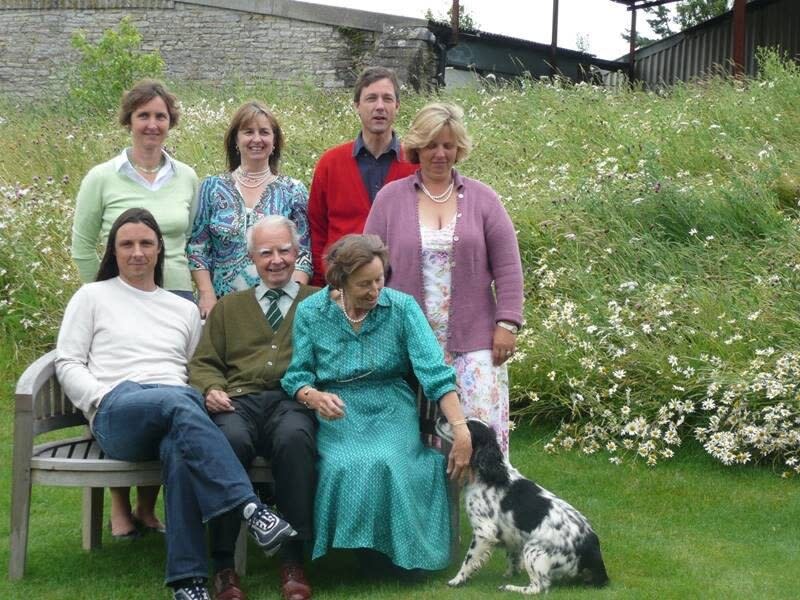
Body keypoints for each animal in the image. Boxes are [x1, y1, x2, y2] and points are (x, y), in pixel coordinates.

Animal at [434, 418, 608, 596]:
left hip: (532, 549)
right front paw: (510, 574)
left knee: (538, 587)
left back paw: (510, 588)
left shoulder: (484, 532)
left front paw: (457, 580)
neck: (488, 475)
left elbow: (468, 561)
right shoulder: (512, 535)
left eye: (466, 426)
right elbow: (513, 558)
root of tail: (592, 547)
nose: (441, 418)